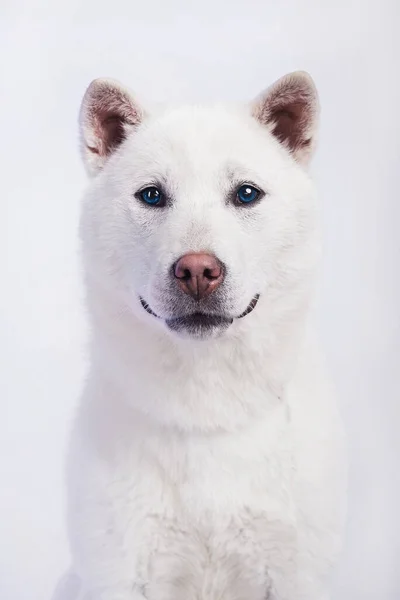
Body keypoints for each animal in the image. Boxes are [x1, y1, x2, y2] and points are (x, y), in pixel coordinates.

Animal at [53, 71, 346, 600]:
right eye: (151, 195)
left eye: (246, 194)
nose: (196, 271)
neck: (207, 406)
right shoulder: (118, 570)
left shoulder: (298, 572)